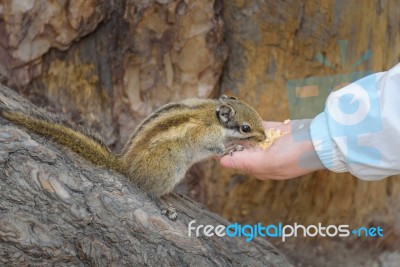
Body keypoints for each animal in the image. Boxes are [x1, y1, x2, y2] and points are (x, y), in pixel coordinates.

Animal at [1, 91, 268, 221]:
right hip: (170, 168)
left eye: (257, 115)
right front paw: (231, 148)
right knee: (149, 191)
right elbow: (216, 148)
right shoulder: (206, 137)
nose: (264, 137)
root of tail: (125, 164)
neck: (213, 115)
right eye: (246, 128)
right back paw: (164, 204)